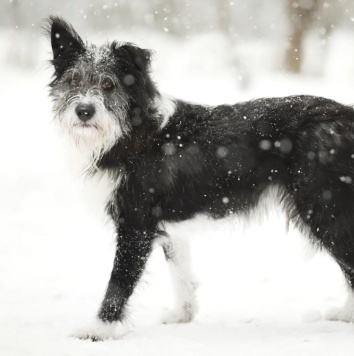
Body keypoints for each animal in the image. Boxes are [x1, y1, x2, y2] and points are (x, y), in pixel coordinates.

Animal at [47, 16, 354, 340]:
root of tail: (346, 116)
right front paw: (183, 314)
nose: (84, 111)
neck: (135, 131)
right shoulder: (167, 227)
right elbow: (181, 274)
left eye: (108, 84)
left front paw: (99, 329)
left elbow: (119, 282)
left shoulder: (135, 225)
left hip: (325, 209)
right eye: (74, 80)